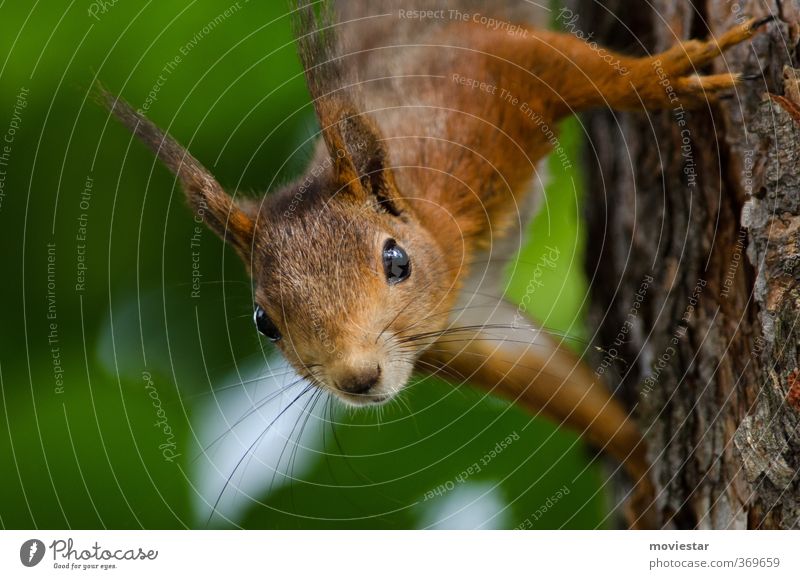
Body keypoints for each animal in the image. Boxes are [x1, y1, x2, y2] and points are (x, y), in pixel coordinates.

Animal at [97, 1, 772, 532]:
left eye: (395, 260)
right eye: (264, 322)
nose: (358, 378)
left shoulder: (480, 73)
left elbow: (574, 66)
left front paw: (667, 73)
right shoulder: (465, 327)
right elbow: (570, 394)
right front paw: (639, 476)